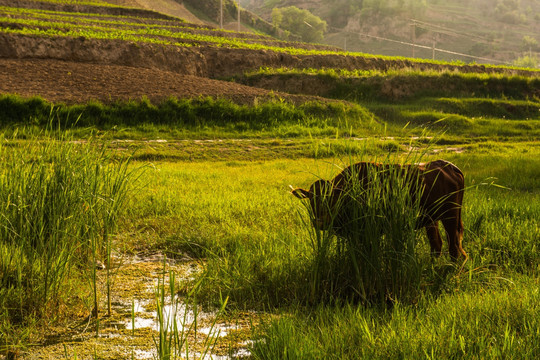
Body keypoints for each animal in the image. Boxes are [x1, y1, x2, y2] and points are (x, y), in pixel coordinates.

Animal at [294, 160, 466, 258]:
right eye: (311, 199)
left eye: (331, 199)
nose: (320, 222)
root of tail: (450, 167)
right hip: (432, 220)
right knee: (437, 245)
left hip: (450, 217)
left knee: (454, 249)